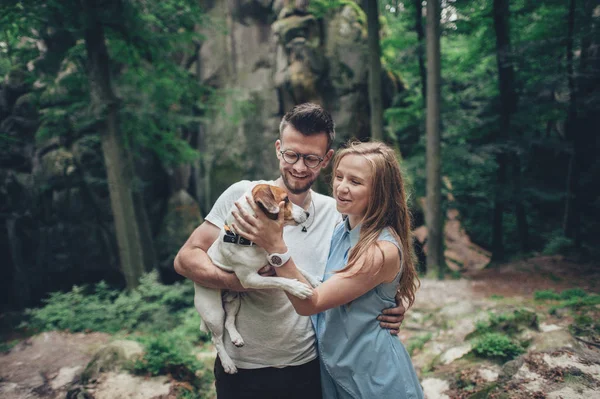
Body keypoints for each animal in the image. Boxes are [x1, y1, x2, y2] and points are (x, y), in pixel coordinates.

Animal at [195, 184, 322, 376]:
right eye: (286, 199)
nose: (307, 214)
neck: (250, 241)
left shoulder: (273, 261)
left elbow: (301, 270)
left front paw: (314, 281)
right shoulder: (251, 279)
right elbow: (281, 281)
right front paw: (298, 288)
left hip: (234, 301)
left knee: (229, 321)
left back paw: (236, 337)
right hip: (213, 312)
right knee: (216, 338)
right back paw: (228, 363)